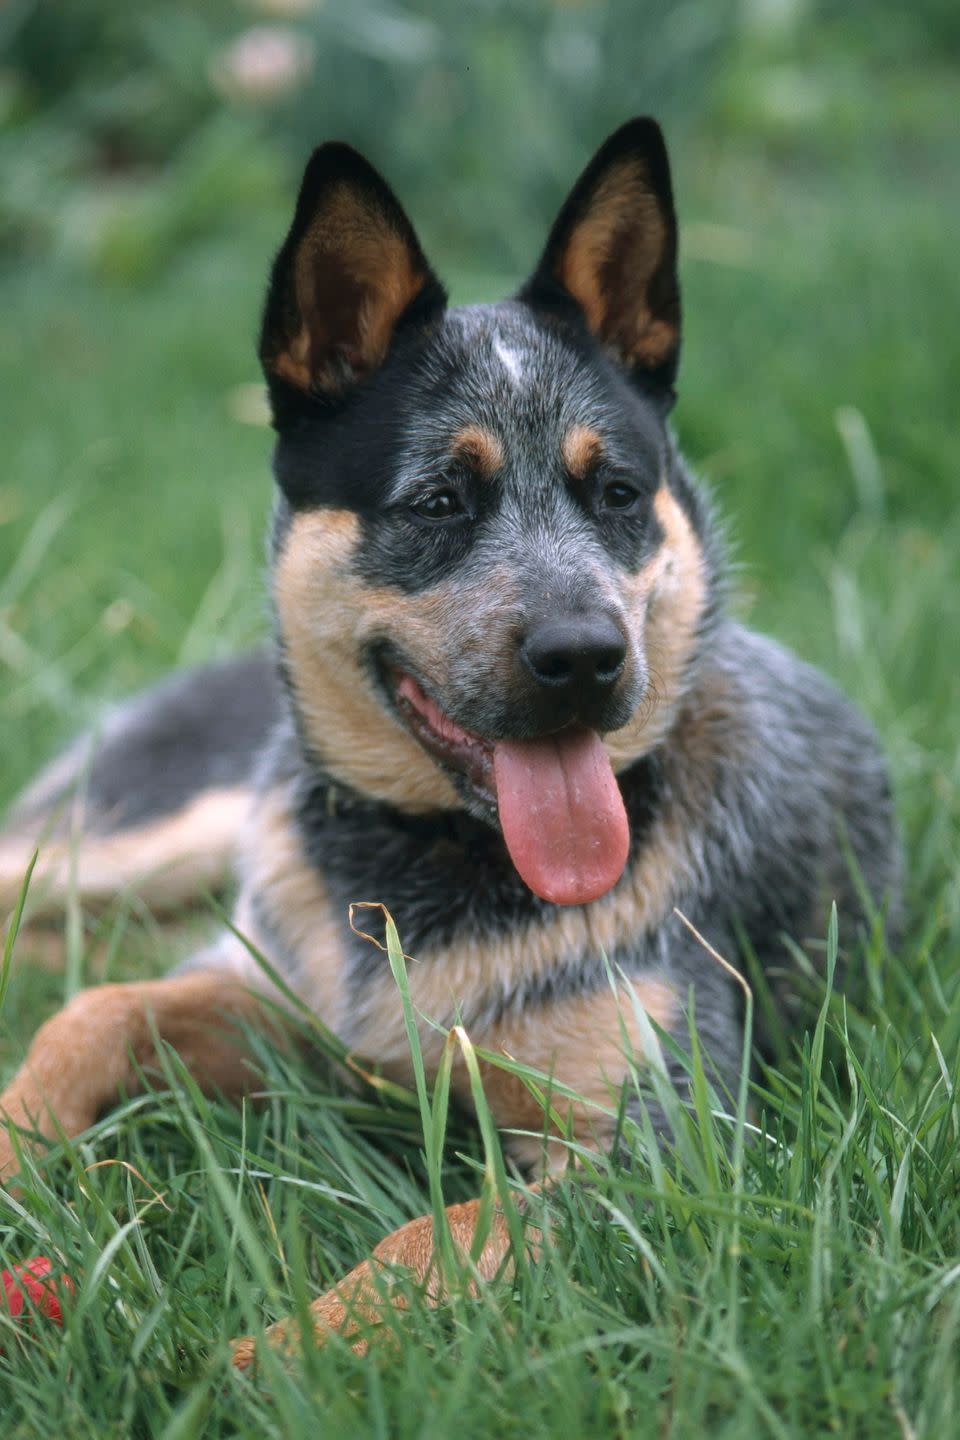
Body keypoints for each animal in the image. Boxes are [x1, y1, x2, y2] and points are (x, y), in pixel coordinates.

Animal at [0, 120, 903, 1359]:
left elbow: (431, 1233)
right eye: (437, 500)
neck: (430, 875)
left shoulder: (658, 1145)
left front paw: (257, 1363)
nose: (586, 657)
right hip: (138, 838)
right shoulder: (273, 989)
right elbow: (96, 1011)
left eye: (618, 493)